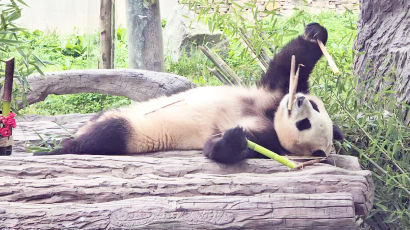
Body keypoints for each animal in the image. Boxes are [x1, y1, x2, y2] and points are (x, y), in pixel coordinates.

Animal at [34, 22, 342, 164]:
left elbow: (235, 147)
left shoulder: (270, 135)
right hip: (118, 110)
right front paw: (315, 34)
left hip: (135, 131)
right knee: (101, 124)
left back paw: (57, 147)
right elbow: (290, 64)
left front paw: (232, 138)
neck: (269, 114)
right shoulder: (272, 95)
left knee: (106, 135)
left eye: (305, 124)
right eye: (314, 107)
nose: (298, 101)